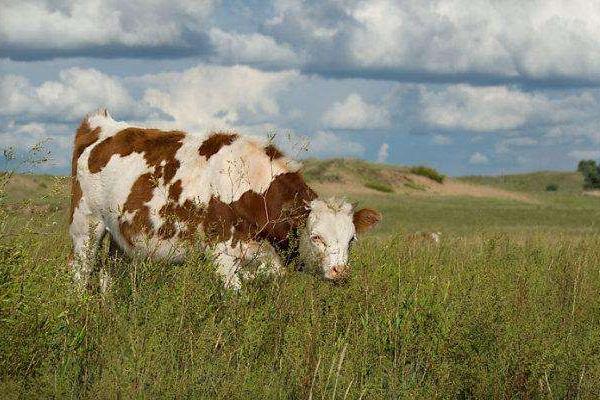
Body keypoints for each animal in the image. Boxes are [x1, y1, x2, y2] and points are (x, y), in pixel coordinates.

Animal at [69, 109, 380, 290]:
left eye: (351, 239)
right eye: (316, 237)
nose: (339, 271)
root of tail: (102, 125)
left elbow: (267, 275)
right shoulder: (222, 254)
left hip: (120, 233)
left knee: (108, 272)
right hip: (86, 224)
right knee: (80, 270)